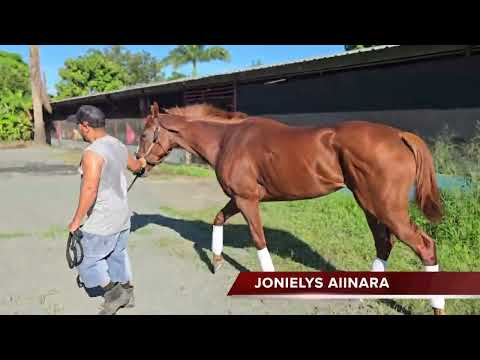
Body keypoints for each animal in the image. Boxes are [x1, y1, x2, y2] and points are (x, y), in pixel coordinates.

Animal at [135, 102, 446, 316]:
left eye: (145, 134)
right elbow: (218, 218)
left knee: (425, 246)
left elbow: (259, 239)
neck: (227, 139)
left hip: (386, 208)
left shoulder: (247, 200)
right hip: (370, 206)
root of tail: (400, 136)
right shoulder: (238, 199)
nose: (137, 166)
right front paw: (217, 260)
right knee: (384, 244)